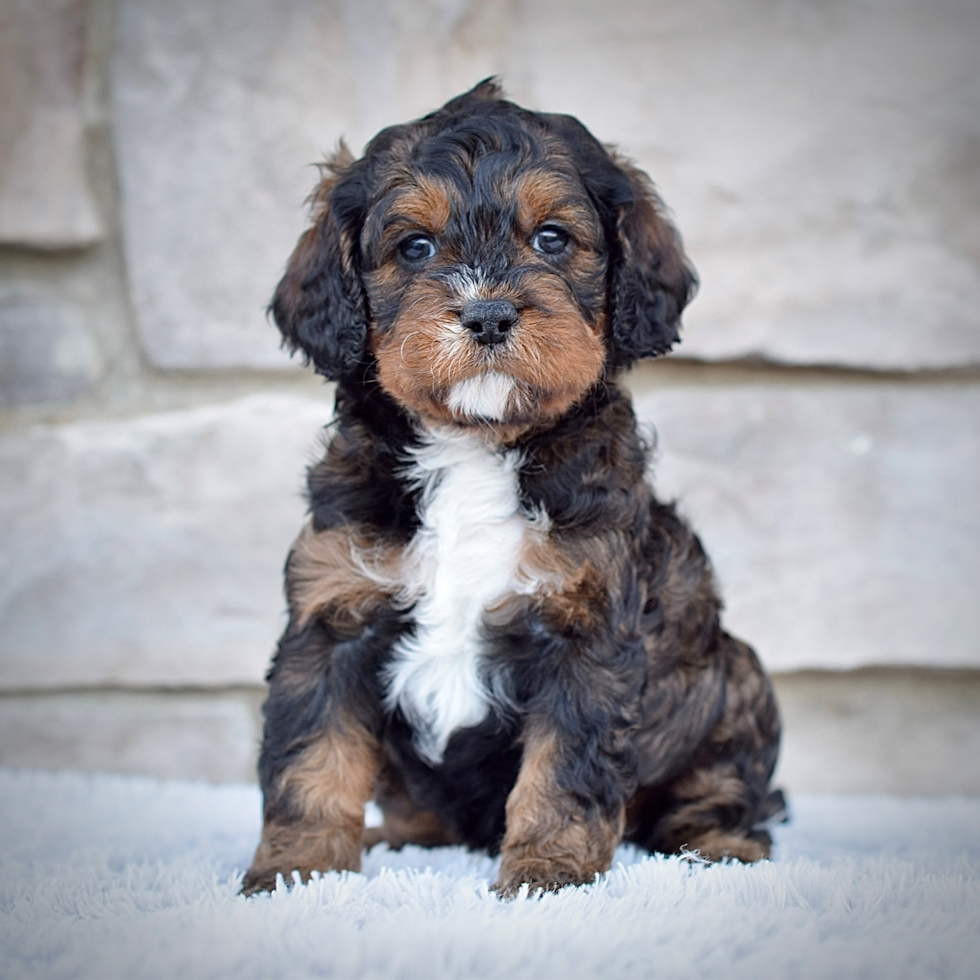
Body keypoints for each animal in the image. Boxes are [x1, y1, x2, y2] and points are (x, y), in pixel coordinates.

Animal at [243, 80, 780, 900]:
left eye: (552, 239)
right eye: (416, 247)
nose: (489, 313)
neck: (473, 447)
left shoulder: (585, 630)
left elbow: (562, 772)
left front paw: (546, 877)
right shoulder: (332, 617)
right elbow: (313, 759)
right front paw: (295, 873)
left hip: (732, 675)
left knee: (724, 787)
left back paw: (717, 846)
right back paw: (404, 835)